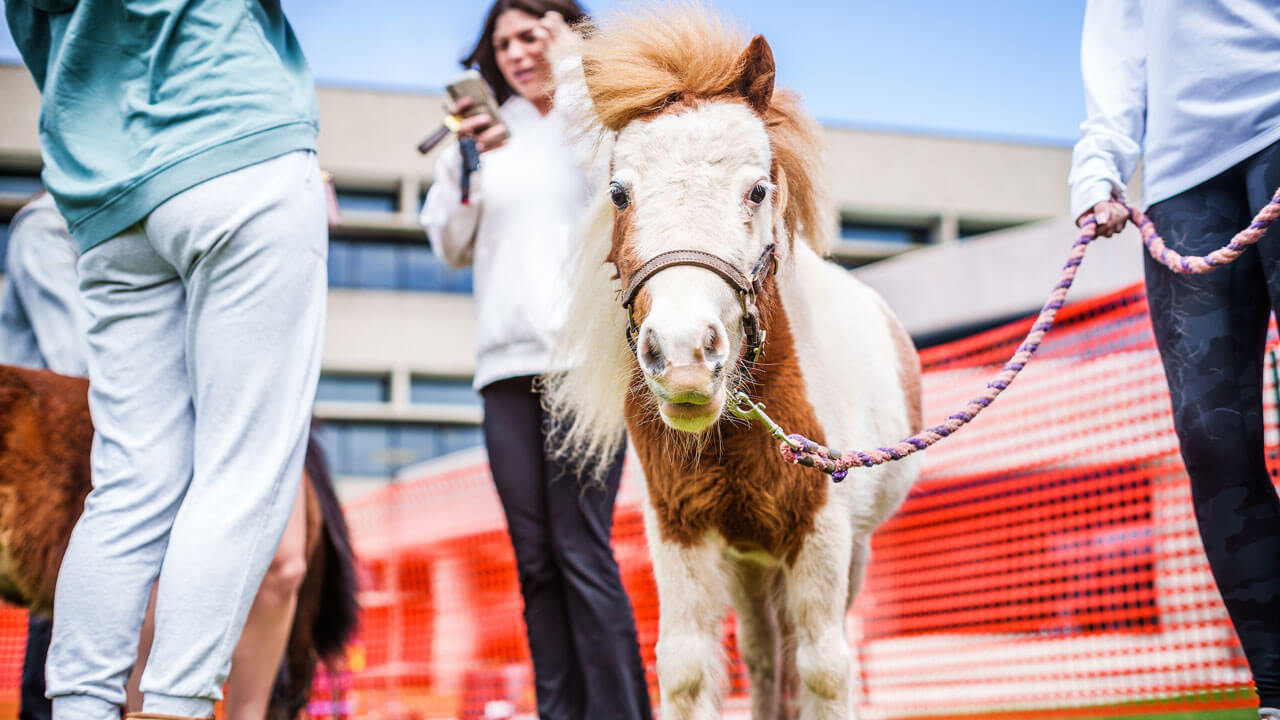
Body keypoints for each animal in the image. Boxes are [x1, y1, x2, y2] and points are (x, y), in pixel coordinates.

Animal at [543, 7, 923, 719]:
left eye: (758, 190)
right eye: (618, 193)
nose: (685, 356)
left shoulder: (821, 532)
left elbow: (825, 670)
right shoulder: (681, 532)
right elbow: (689, 668)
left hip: (845, 552)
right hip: (750, 561)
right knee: (764, 653)